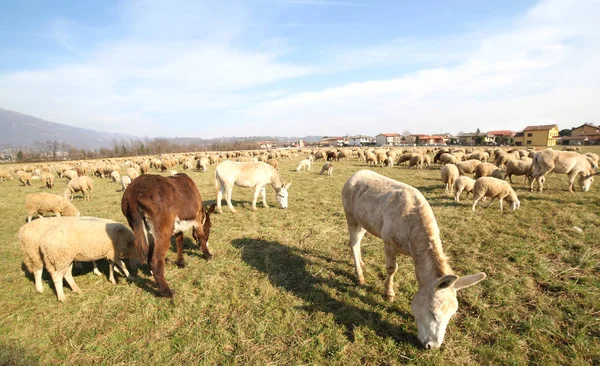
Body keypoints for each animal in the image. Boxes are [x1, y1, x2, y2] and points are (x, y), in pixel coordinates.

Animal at [342, 171, 488, 348]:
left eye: (452, 314)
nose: (433, 346)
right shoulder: (389, 243)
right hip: (351, 216)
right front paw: (389, 293)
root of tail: (357, 173)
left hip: (364, 220)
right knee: (354, 243)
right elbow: (391, 269)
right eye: (433, 313)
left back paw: (362, 262)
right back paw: (360, 275)